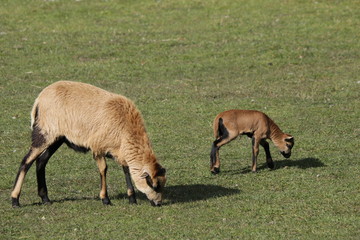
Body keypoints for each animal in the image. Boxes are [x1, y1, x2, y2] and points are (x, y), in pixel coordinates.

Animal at [10, 80, 166, 206]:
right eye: (154, 185)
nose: (158, 204)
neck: (126, 128)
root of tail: (40, 99)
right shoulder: (98, 147)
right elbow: (103, 169)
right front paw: (105, 199)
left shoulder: (120, 151)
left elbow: (126, 169)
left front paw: (132, 199)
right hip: (44, 132)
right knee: (26, 162)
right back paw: (15, 200)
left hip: (58, 137)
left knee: (41, 161)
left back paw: (45, 199)